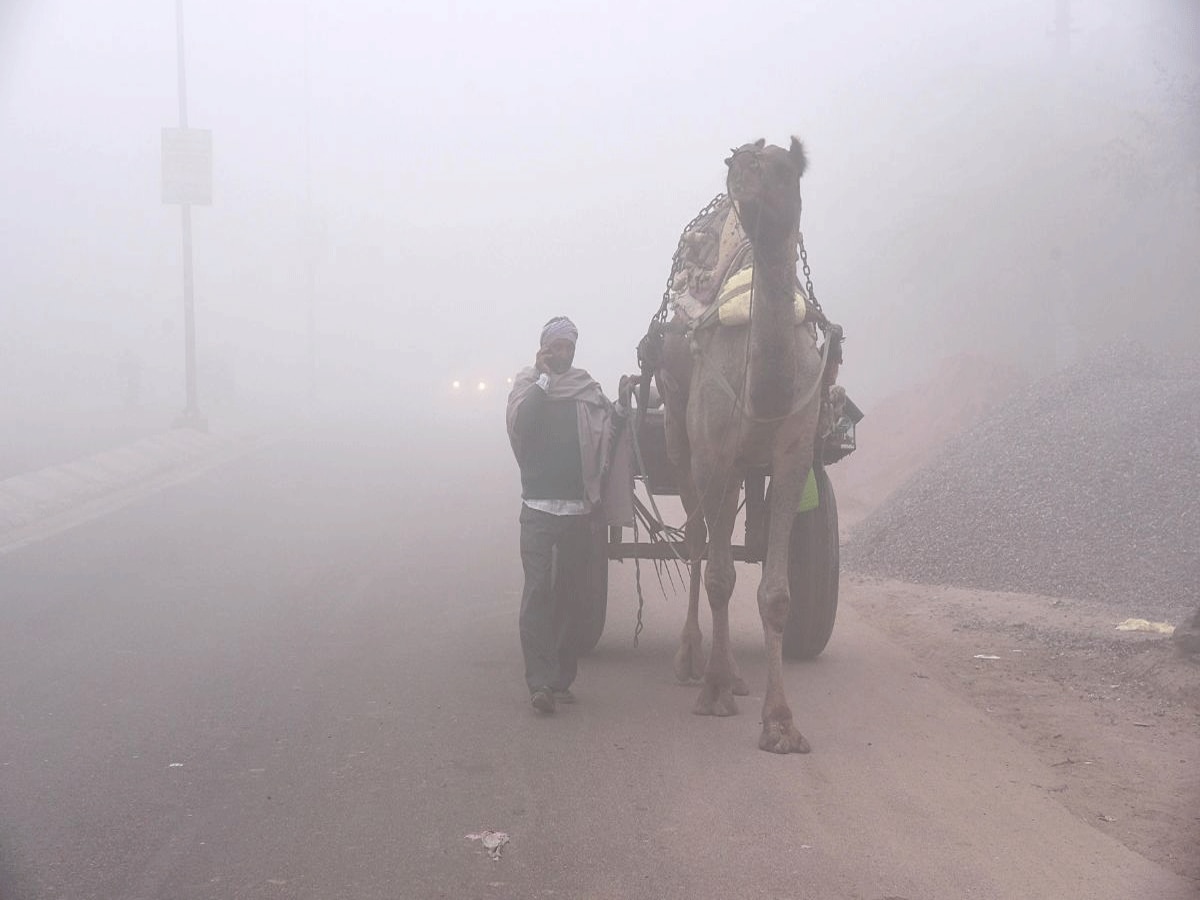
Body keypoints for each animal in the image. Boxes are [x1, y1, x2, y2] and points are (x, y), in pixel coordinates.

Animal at [652, 135, 820, 753]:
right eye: (738, 165)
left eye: (784, 170)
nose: (741, 180)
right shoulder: (711, 450)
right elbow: (720, 573)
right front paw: (714, 692)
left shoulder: (793, 452)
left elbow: (775, 592)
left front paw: (781, 723)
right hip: (680, 432)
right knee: (700, 538)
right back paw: (694, 662)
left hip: (745, 462)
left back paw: (738, 676)